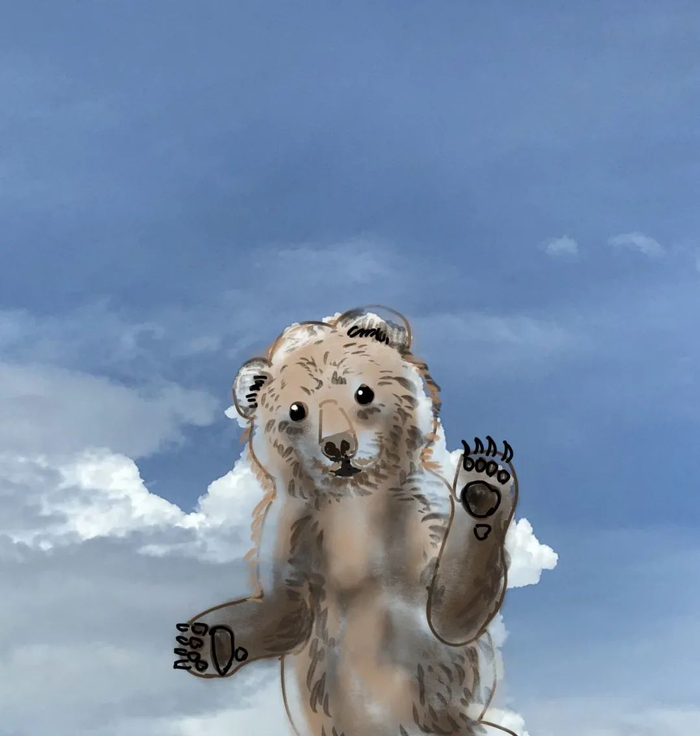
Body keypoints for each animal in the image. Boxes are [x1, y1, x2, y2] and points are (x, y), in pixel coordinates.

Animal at [173, 305, 519, 736]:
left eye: (362, 392)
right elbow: (286, 611)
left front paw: (484, 486)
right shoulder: (293, 526)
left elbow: (449, 616)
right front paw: (206, 641)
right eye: (296, 410)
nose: (338, 446)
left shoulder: (424, 517)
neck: (355, 501)